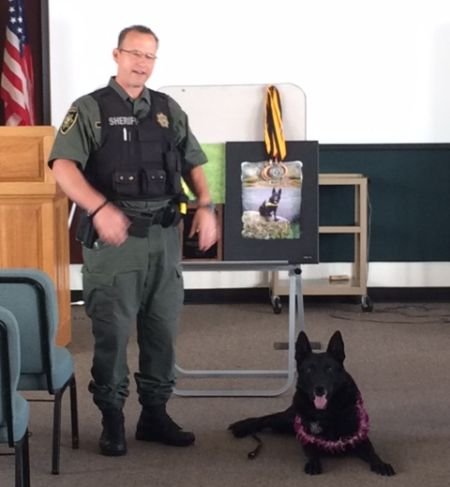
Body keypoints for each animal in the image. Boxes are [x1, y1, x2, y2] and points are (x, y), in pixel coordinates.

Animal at [230, 332, 396, 476]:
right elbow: (311, 449)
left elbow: (372, 452)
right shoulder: (307, 436)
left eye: (329, 369)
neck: (328, 411)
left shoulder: (358, 437)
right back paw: (242, 427)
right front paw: (313, 463)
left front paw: (380, 463)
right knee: (266, 419)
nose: (319, 389)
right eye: (309, 370)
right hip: (285, 421)